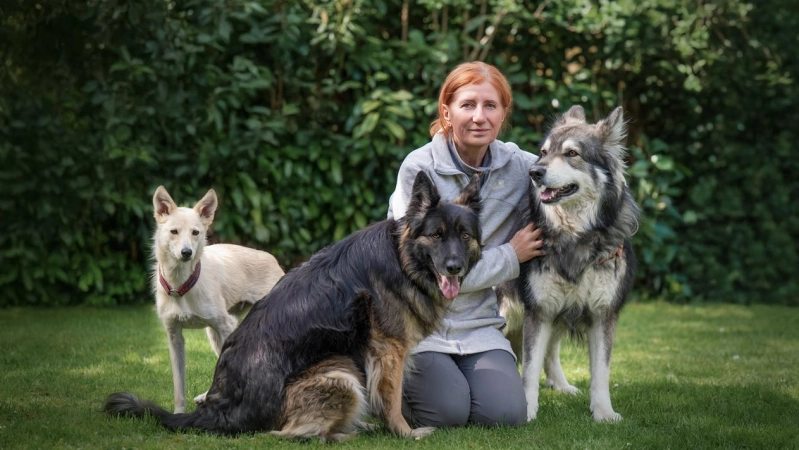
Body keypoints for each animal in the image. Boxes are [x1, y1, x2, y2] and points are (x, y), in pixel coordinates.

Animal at [151, 186, 285, 414]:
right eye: (174, 232)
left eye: (195, 233)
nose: (186, 253)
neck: (182, 284)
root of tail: (272, 259)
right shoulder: (174, 336)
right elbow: (178, 384)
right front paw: (179, 413)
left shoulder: (226, 327)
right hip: (213, 334)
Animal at [497, 105, 640, 422]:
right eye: (543, 152)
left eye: (572, 153)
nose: (535, 172)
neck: (575, 236)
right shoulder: (539, 310)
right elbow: (529, 369)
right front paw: (527, 411)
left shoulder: (602, 314)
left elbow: (601, 372)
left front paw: (603, 412)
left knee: (551, 352)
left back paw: (560, 385)